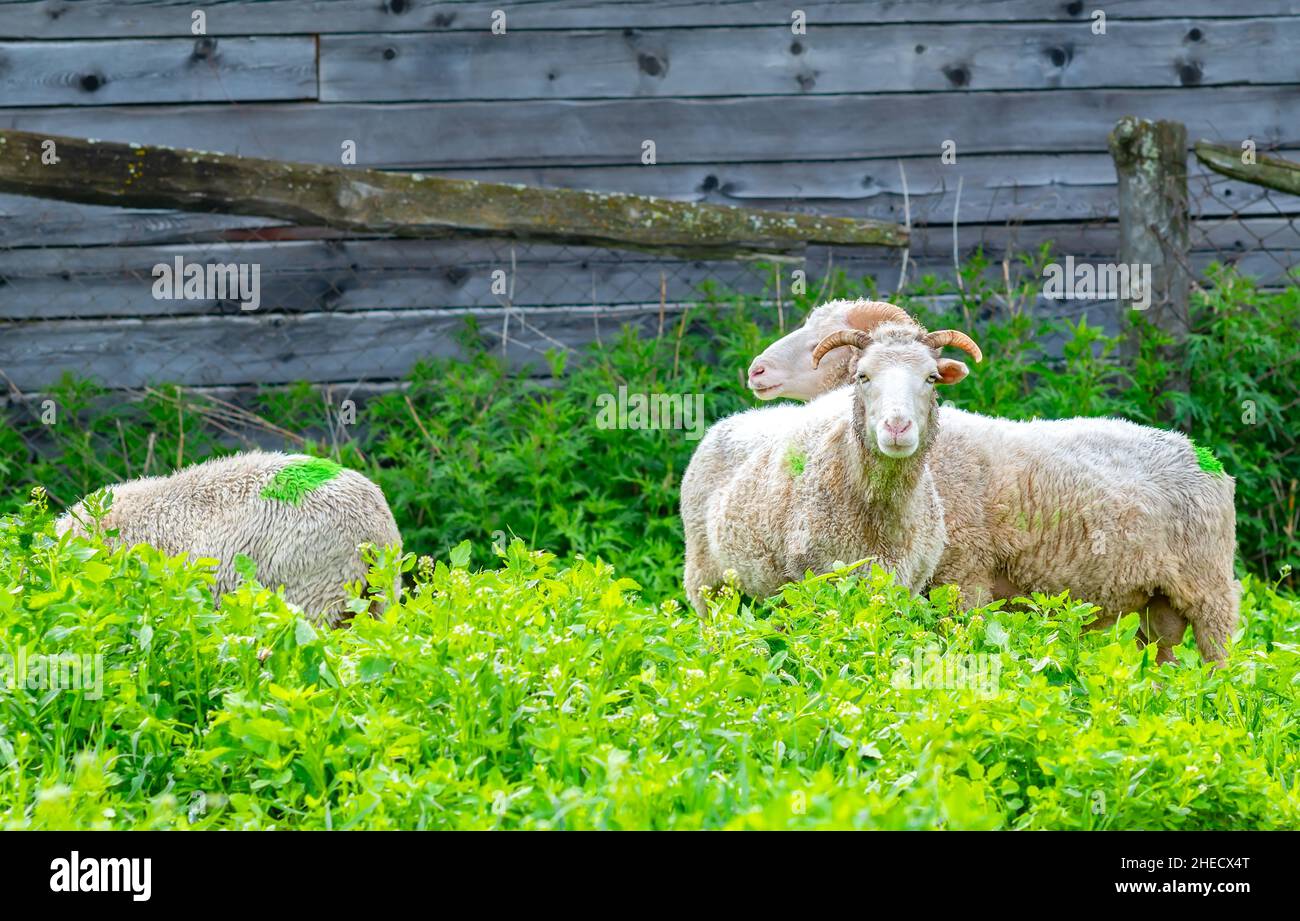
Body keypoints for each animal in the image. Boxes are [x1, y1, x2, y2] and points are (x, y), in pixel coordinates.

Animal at [681, 305, 982, 615]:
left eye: (931, 377)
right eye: (863, 376)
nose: (897, 427)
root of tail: (730, 420)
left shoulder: (907, 585)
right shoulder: (818, 580)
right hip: (707, 582)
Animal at [746, 299, 1240, 663]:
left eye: (819, 342)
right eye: (863, 374)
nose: (755, 370)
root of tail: (1202, 455)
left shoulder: (965, 576)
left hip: (1210, 587)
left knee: (1220, 660)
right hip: (1161, 600)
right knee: (1163, 662)